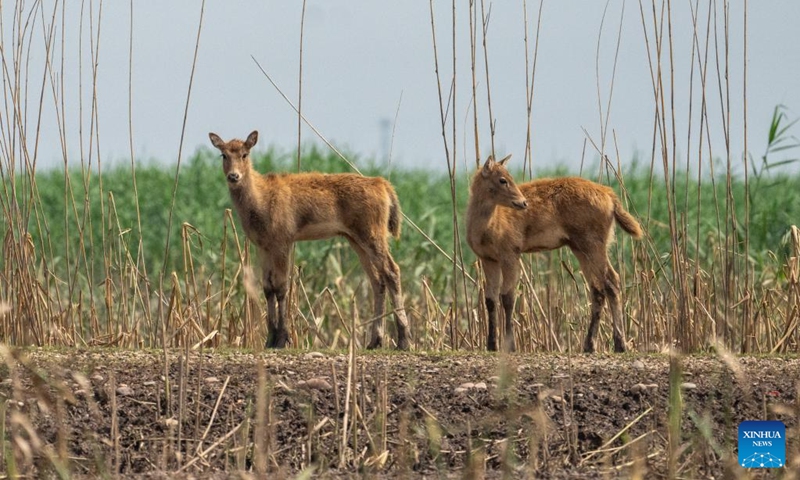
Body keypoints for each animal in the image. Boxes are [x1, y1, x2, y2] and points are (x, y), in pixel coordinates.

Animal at [209, 131, 411, 350]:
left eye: (245, 154)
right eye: (223, 155)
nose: (233, 176)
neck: (259, 203)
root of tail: (384, 185)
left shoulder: (283, 239)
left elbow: (281, 286)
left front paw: (282, 338)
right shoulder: (263, 246)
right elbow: (268, 288)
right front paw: (269, 339)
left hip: (372, 232)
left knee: (392, 270)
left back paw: (403, 340)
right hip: (355, 238)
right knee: (377, 280)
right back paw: (375, 341)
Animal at [466, 155, 642, 353]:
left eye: (509, 177)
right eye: (502, 179)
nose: (523, 202)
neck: (486, 229)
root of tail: (610, 195)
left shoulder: (510, 252)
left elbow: (508, 297)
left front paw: (510, 345)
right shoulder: (488, 258)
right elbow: (490, 299)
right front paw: (491, 344)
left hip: (593, 243)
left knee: (612, 281)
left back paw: (620, 344)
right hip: (580, 246)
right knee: (597, 289)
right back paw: (590, 345)